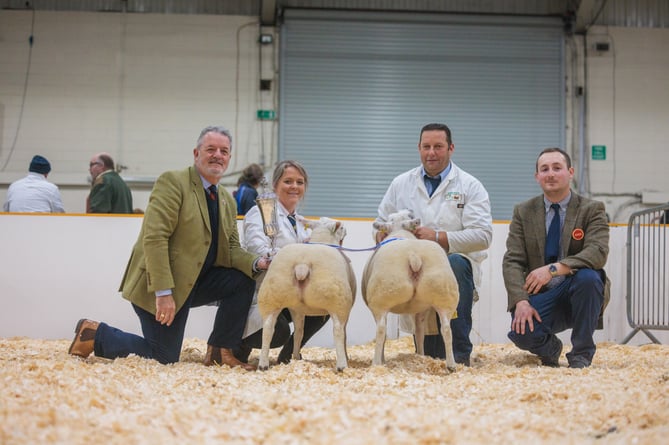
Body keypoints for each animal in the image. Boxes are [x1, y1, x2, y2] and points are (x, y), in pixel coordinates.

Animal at [256, 217, 354, 370]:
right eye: (342, 228)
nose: (346, 230)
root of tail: (302, 265)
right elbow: (344, 333)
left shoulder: (296, 309)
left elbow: (299, 332)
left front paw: (296, 356)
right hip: (339, 302)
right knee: (338, 331)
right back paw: (342, 365)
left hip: (270, 297)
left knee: (268, 329)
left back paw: (263, 364)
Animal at [360, 208, 460, 372]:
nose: (411, 211)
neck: (401, 231)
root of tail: (413, 256)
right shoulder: (421, 309)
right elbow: (419, 333)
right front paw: (420, 356)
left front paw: (382, 359)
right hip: (444, 294)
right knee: (446, 329)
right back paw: (451, 365)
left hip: (381, 298)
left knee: (381, 330)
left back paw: (376, 363)